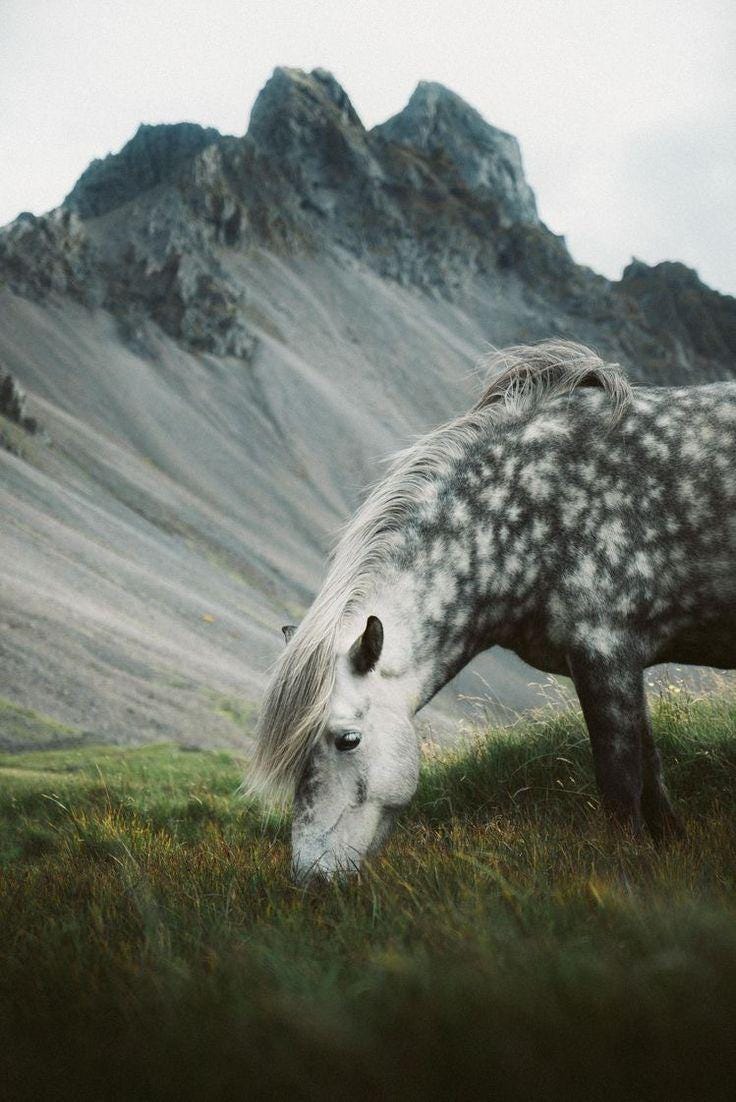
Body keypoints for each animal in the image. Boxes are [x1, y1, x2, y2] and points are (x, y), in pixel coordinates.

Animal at [251, 340, 736, 882]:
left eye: (347, 740)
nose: (311, 877)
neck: (539, 509)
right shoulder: (619, 669)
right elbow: (653, 780)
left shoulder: (606, 656)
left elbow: (622, 783)